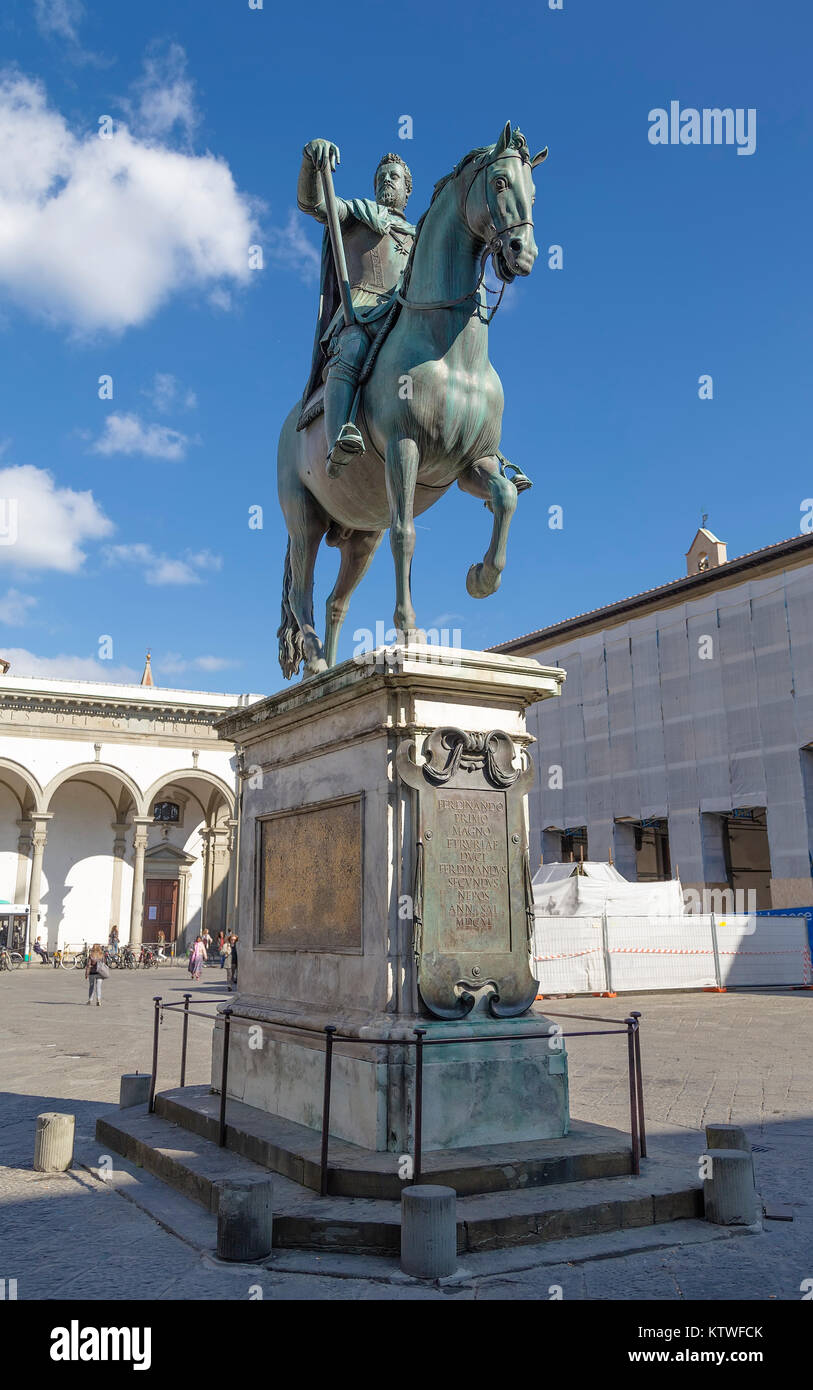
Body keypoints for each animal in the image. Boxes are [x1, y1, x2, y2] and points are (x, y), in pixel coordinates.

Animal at [275, 122, 547, 675]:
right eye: (501, 182)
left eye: (534, 191)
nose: (522, 252)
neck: (453, 351)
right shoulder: (405, 448)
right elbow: (407, 534)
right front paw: (409, 632)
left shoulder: (469, 465)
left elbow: (505, 498)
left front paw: (481, 578)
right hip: (303, 517)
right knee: (303, 590)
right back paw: (315, 662)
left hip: (360, 534)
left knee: (336, 600)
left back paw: (329, 664)